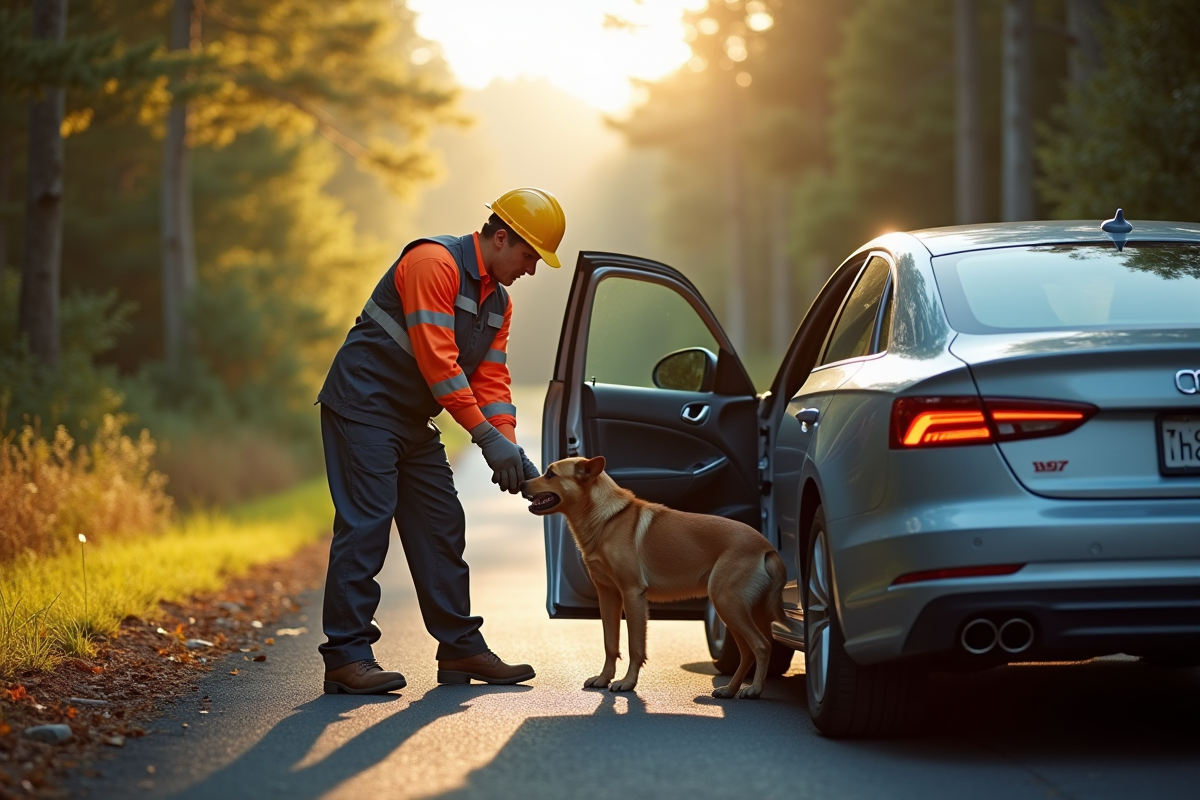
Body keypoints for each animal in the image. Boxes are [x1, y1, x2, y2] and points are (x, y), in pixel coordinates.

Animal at [523, 455, 787, 700]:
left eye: (550, 474)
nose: (522, 483)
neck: (607, 519)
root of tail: (768, 548)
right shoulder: (608, 595)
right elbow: (610, 643)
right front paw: (603, 679)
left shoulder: (632, 594)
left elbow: (635, 647)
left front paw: (627, 683)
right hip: (734, 611)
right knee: (749, 651)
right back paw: (730, 689)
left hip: (728, 604)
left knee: (761, 646)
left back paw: (754, 689)